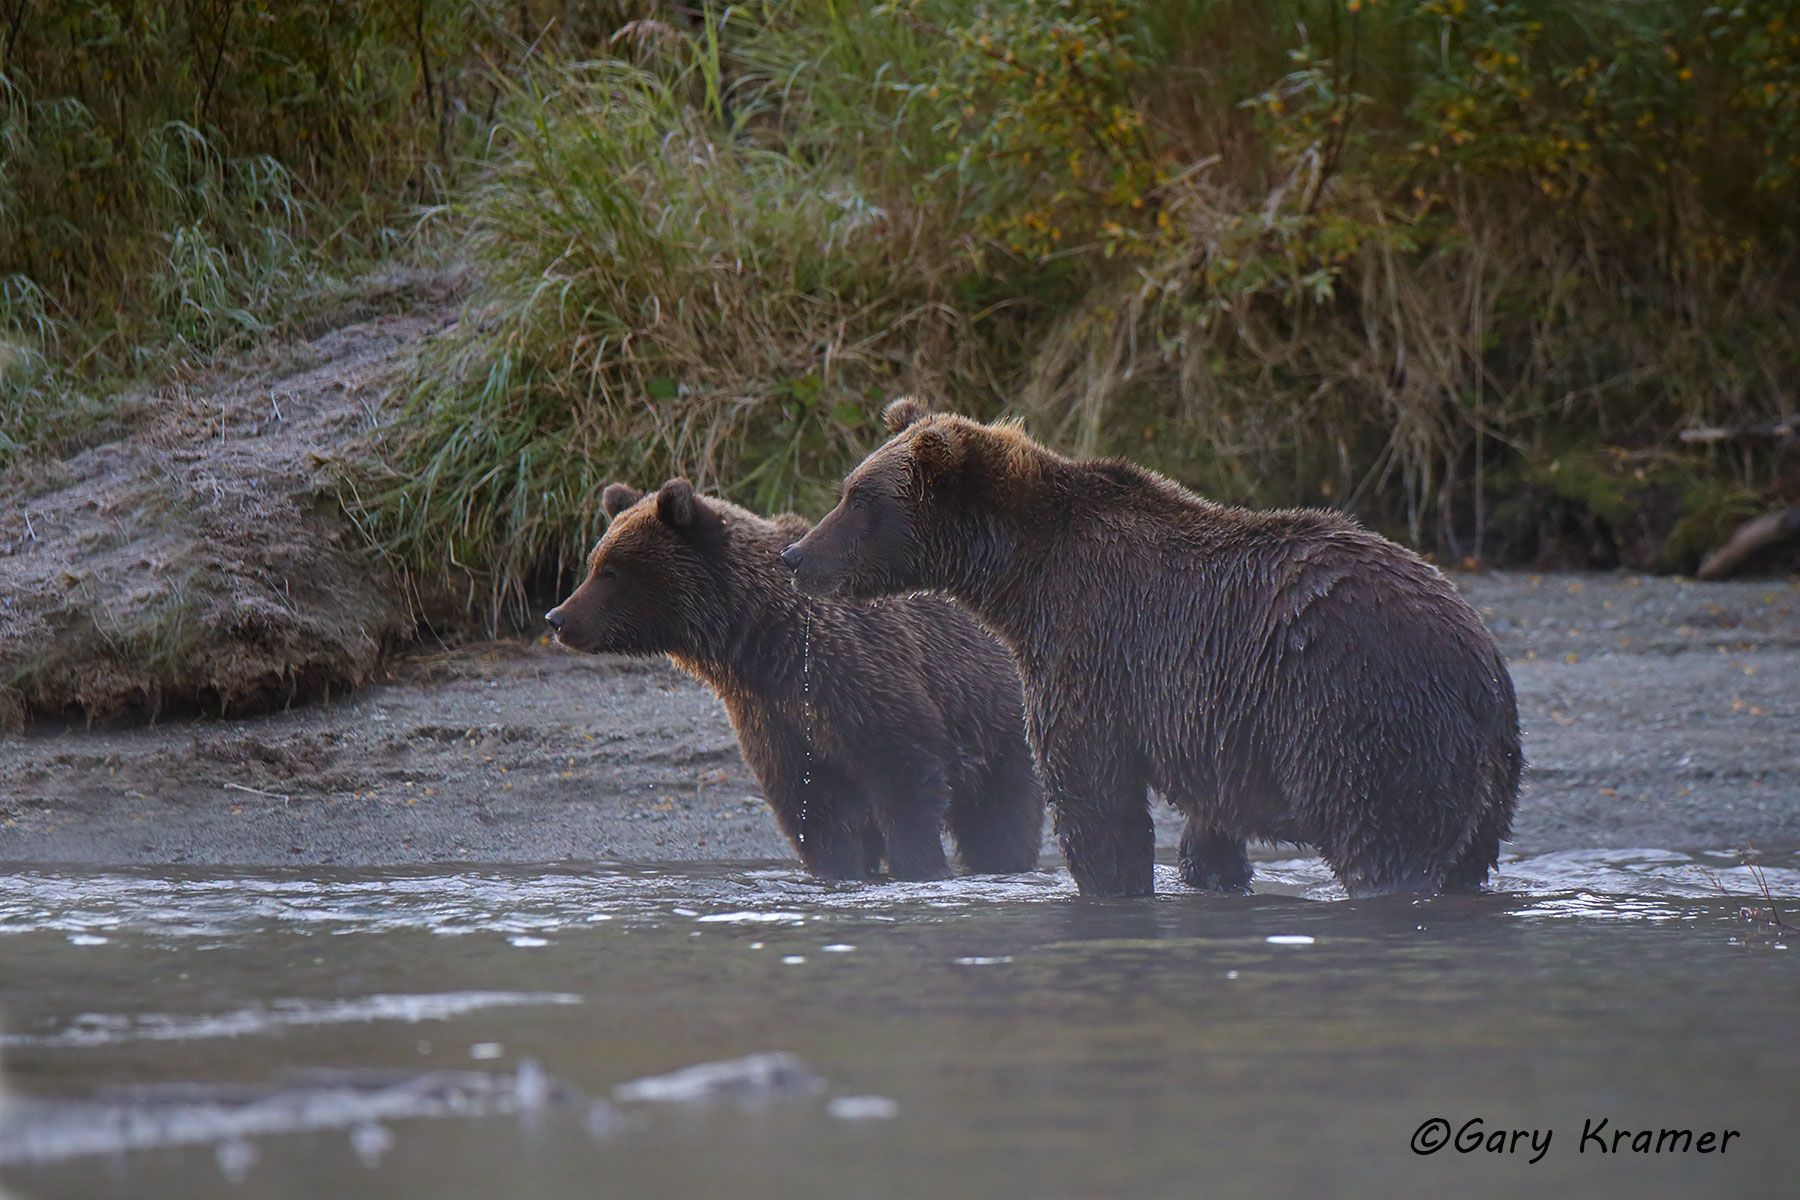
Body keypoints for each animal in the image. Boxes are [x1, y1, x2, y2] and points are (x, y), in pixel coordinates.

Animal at [545, 478, 1044, 882]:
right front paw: (839, 870)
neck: (762, 644)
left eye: (611, 571)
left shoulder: (863, 680)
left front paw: (920, 868)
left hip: (996, 720)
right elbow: (811, 809)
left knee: (1001, 812)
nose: (558, 617)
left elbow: (905, 775)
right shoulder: (772, 716)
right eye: (594, 562)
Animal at [780, 398, 1521, 898]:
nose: (796, 556)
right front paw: (1212, 872)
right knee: (1466, 856)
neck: (1021, 579)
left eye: (858, 499)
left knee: (1383, 843)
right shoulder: (1213, 725)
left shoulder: (1094, 651)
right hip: (1489, 775)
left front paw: (1114, 885)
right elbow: (1209, 822)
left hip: (1363, 722)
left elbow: (1093, 797)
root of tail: (1476, 664)